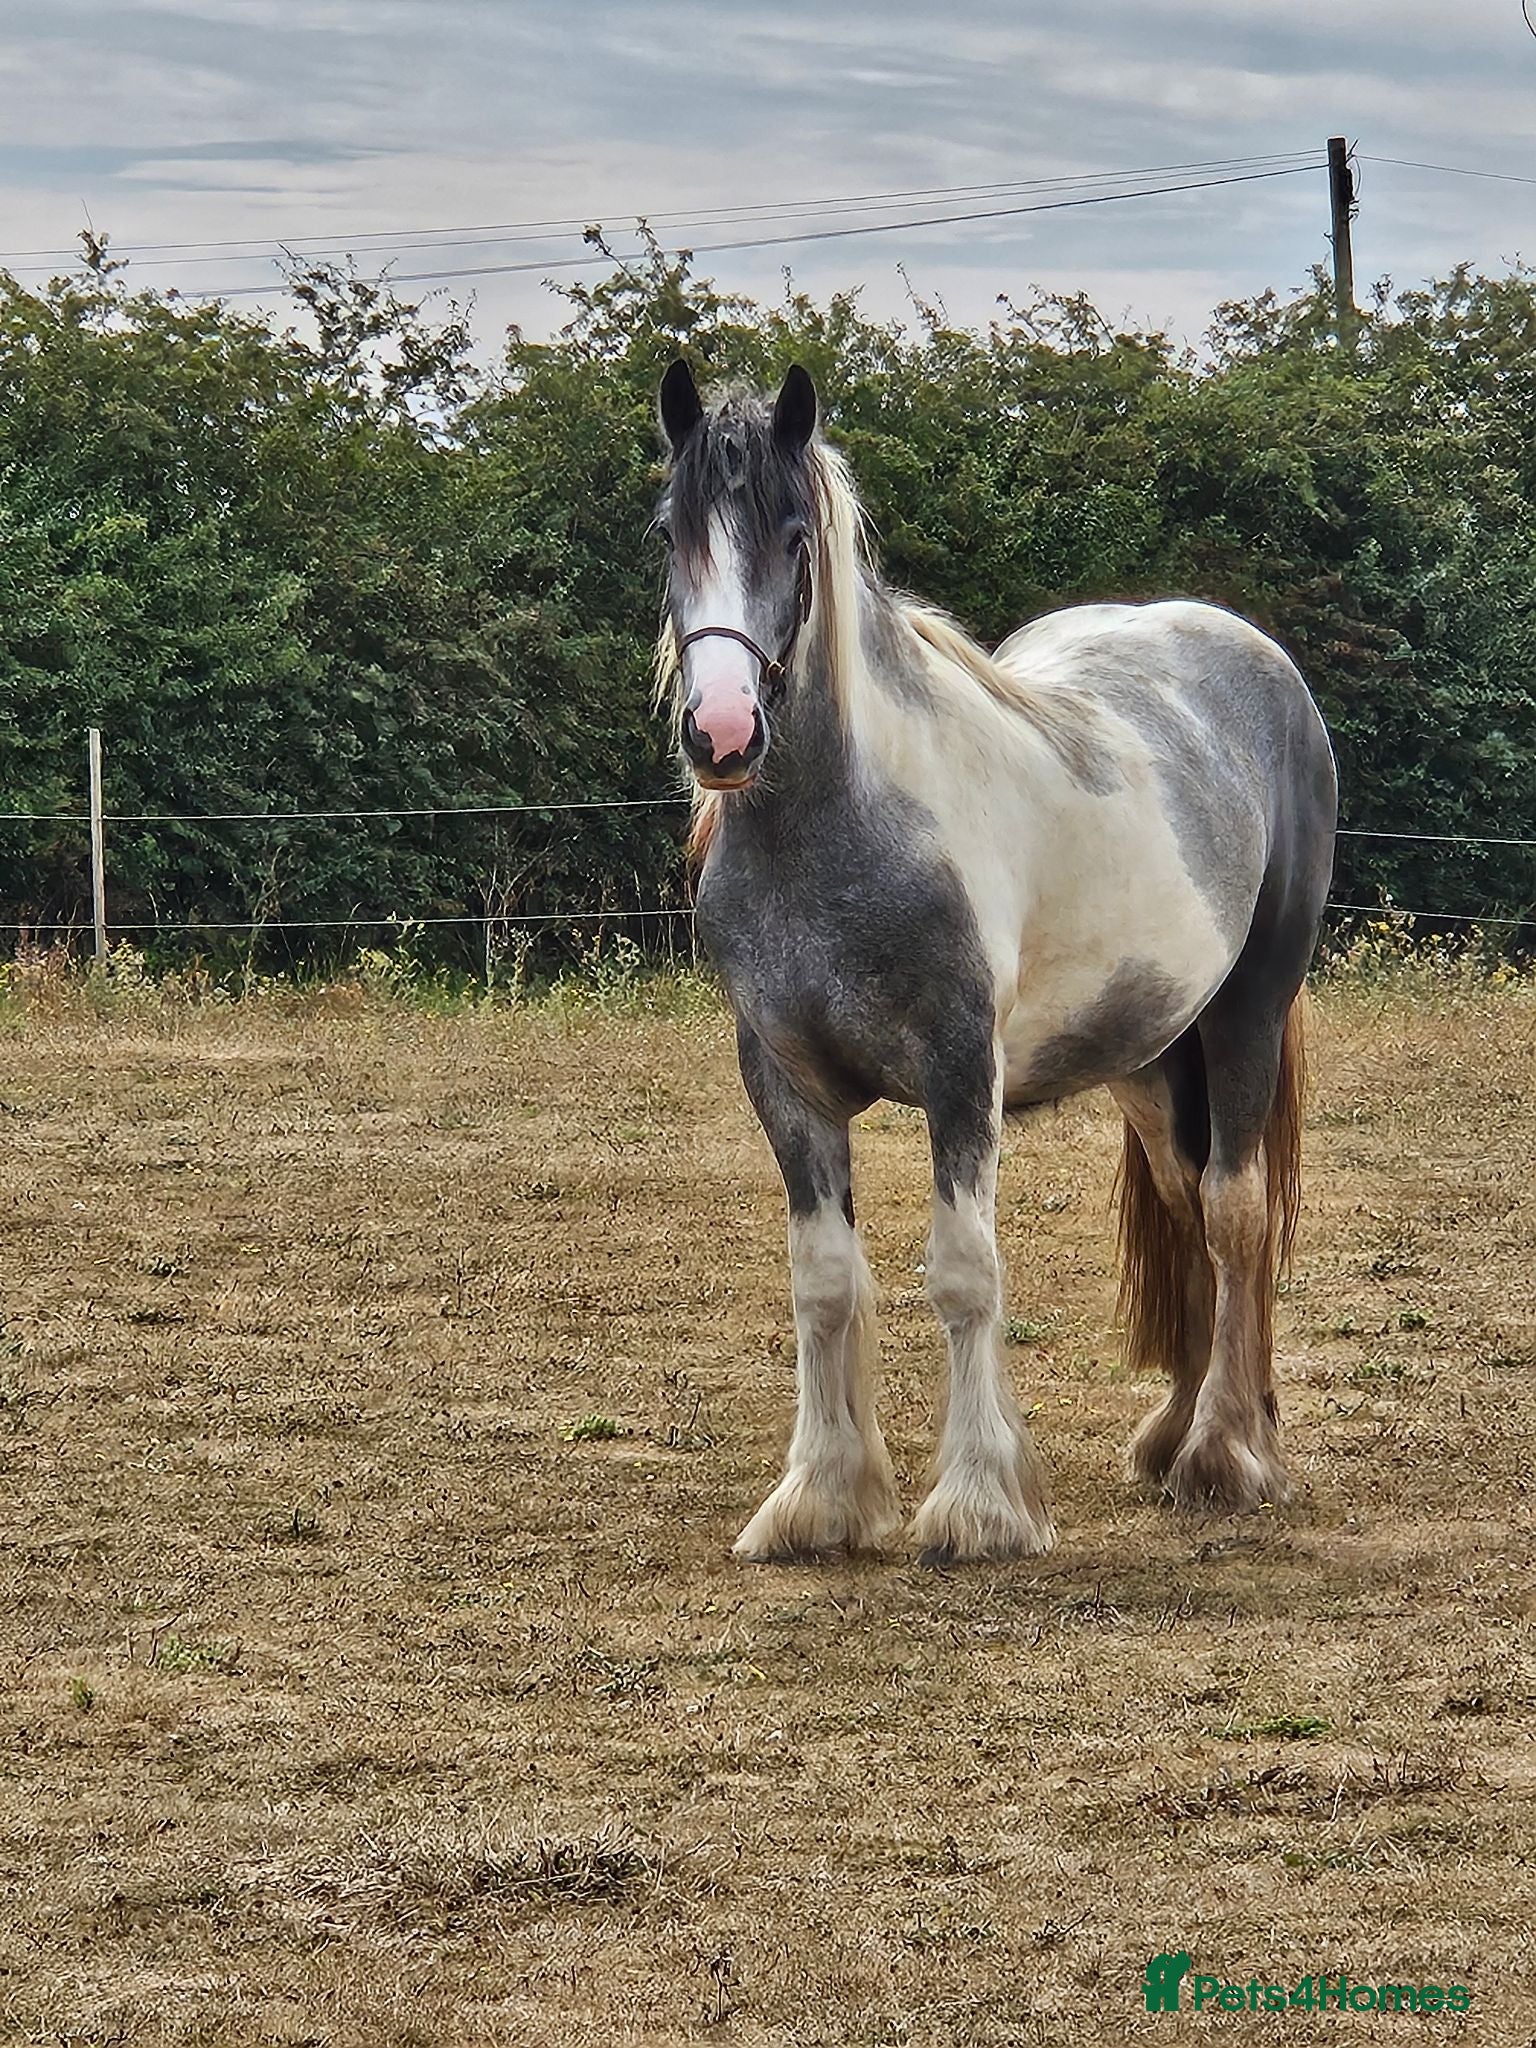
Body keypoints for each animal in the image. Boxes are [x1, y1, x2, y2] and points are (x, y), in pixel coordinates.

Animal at [653, 359, 1337, 1564]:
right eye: (669, 532)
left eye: (794, 536)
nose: (722, 732)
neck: (846, 831)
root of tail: (1258, 661)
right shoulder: (784, 1083)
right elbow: (823, 1281)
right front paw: (819, 1498)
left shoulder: (959, 1070)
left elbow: (965, 1273)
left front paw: (979, 1504)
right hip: (1145, 1049)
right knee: (1186, 1201)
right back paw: (1177, 1431)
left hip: (1247, 1012)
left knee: (1235, 1209)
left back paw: (1227, 1452)